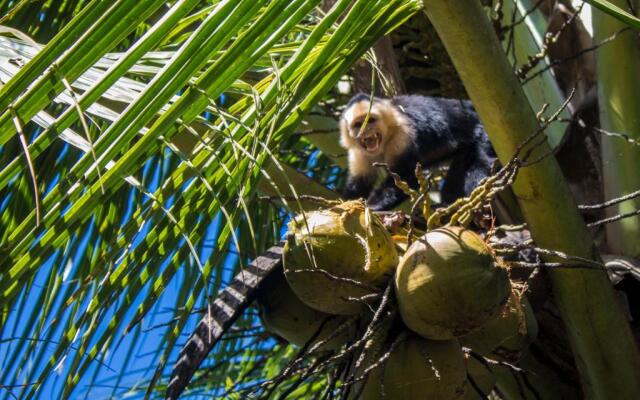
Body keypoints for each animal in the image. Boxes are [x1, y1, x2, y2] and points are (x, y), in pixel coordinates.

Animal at [340, 93, 496, 211]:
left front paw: (372, 206)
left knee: (479, 159)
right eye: (358, 124)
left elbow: (405, 177)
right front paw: (345, 204)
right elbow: (360, 182)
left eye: (371, 120)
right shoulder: (358, 151)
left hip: (484, 130)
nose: (366, 129)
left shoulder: (402, 136)